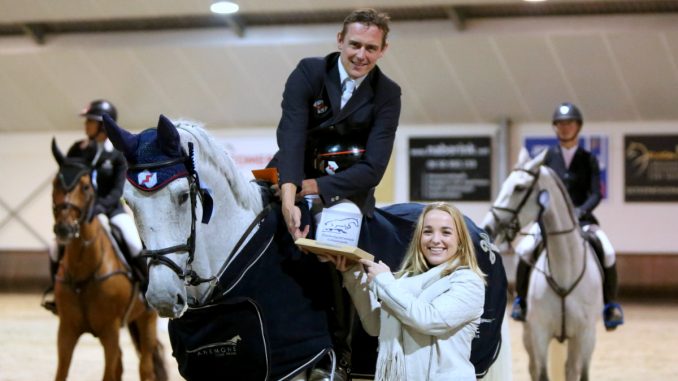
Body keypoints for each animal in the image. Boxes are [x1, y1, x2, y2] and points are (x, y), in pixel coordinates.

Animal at [50, 140, 167, 380]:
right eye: (55, 183)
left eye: (86, 187)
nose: (64, 229)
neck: (83, 270)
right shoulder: (66, 330)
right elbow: (61, 373)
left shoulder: (109, 331)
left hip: (147, 319)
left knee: (146, 368)